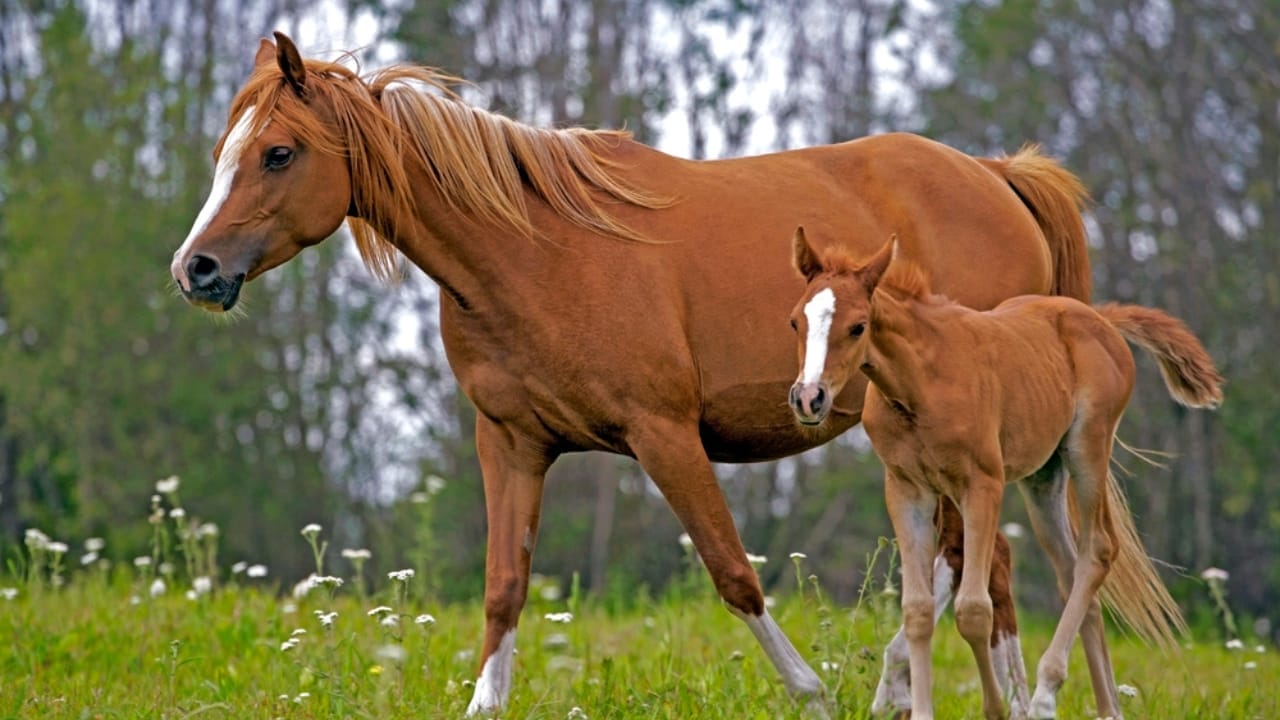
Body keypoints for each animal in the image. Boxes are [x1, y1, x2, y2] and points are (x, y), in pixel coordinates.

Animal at [169, 32, 1094, 715]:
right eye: (224, 151)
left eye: (279, 153)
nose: (196, 270)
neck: (535, 250)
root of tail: (997, 177)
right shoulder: (510, 443)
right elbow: (504, 589)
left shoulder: (664, 435)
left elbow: (734, 574)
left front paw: (810, 694)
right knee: (968, 571)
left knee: (978, 573)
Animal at [787, 230, 1223, 719]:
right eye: (795, 323)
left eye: (858, 327)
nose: (809, 398)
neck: (918, 385)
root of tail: (1101, 318)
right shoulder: (906, 489)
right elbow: (917, 611)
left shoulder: (982, 485)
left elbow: (974, 610)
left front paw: (997, 707)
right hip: (1044, 477)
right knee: (1071, 570)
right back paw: (1107, 707)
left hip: (1088, 448)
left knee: (1098, 550)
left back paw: (1045, 693)